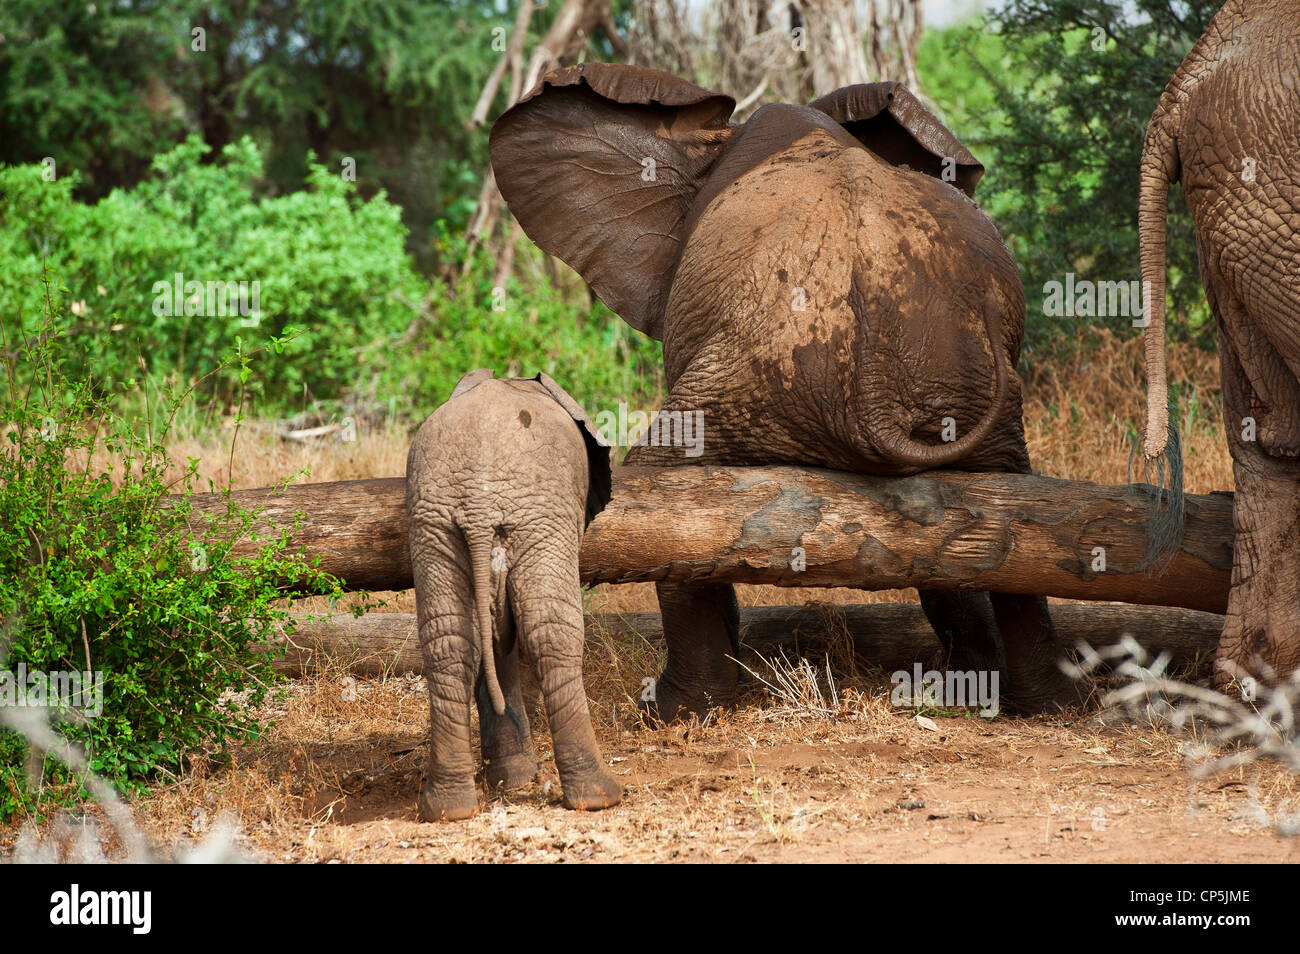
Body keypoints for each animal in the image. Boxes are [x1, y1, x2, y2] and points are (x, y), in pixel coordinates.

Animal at [408, 369, 621, 821]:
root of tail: (477, 504)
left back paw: (448, 809)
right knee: (552, 631)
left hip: (434, 523)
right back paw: (600, 797)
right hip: (538, 517)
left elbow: (493, 632)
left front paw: (512, 780)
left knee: (450, 639)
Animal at [488, 65, 1076, 722]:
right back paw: (1028, 702)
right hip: (957, 385)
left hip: (757, 375)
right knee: (1007, 504)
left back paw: (676, 710)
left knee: (664, 484)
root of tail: (870, 387)